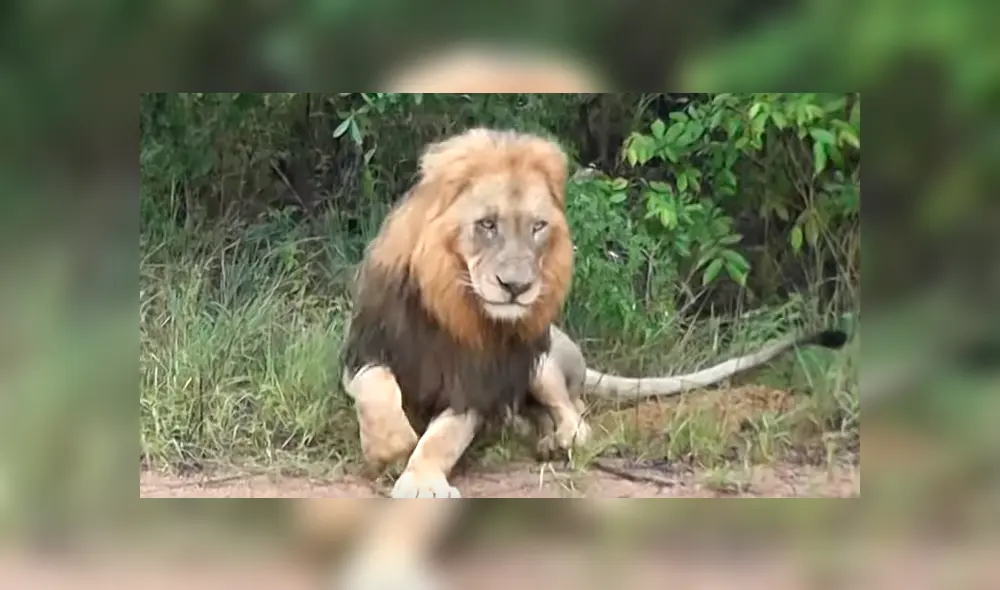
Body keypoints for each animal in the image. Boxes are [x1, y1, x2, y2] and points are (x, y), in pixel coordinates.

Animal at [339, 127, 849, 500]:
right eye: (487, 224)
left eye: (538, 227)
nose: (516, 287)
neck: (455, 306)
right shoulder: (363, 351)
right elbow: (376, 387)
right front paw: (389, 445)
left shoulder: (476, 386)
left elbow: (443, 437)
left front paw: (422, 479)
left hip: (543, 358)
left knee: (577, 413)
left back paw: (553, 438)